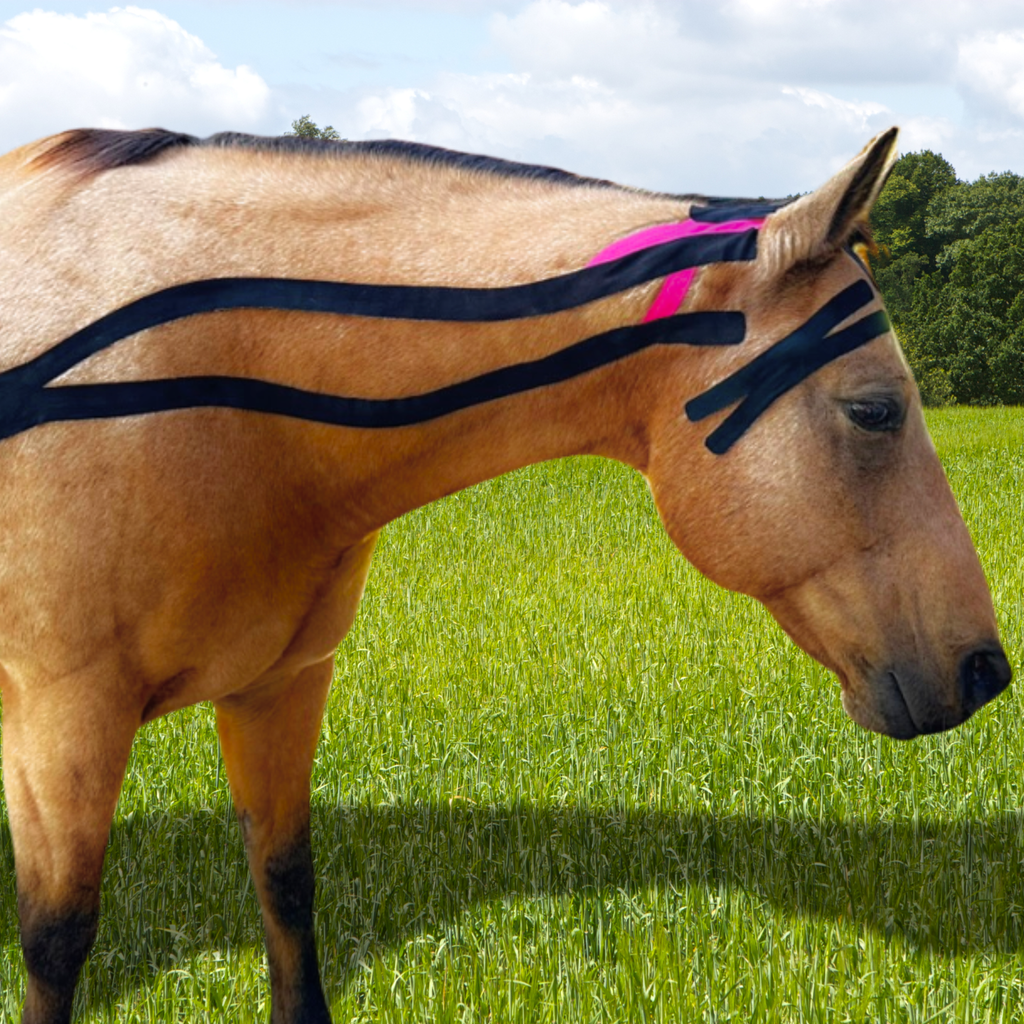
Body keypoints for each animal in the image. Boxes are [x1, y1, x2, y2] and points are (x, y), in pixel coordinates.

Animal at [0, 124, 1009, 1023]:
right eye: (874, 411)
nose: (987, 672)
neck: (214, 388)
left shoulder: (279, 686)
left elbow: (285, 886)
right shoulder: (63, 717)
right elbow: (57, 940)